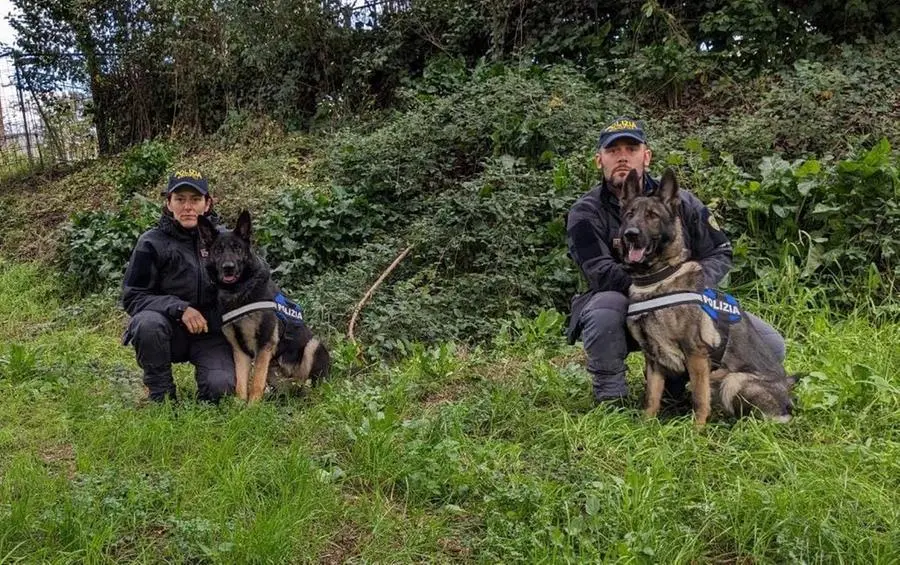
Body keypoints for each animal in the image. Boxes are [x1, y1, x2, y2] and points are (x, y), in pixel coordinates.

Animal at [199, 212, 332, 400]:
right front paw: (239, 405)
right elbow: (240, 384)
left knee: (311, 384)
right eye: (218, 250)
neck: (239, 291)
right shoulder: (240, 350)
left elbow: (256, 382)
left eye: (237, 248)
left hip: (313, 346)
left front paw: (253, 405)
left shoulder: (265, 344)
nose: (228, 268)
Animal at [620, 170, 796, 426]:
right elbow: (651, 397)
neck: (656, 279)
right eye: (629, 215)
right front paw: (646, 425)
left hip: (733, 380)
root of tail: (789, 400)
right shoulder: (653, 359)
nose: (630, 234)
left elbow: (699, 398)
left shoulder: (696, 355)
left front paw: (697, 430)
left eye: (652, 216)